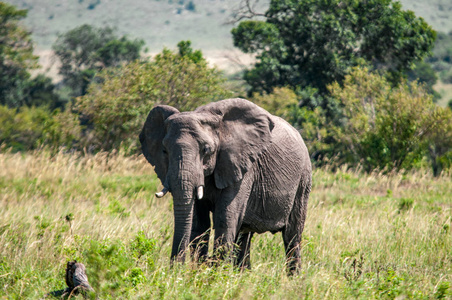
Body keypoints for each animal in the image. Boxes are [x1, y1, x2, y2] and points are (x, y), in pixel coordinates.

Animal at [140, 97, 310, 274]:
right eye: (164, 151)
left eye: (206, 150)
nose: (174, 271)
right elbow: (199, 223)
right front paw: (199, 273)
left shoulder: (242, 168)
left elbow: (225, 218)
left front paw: (215, 275)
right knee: (245, 235)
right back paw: (243, 274)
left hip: (303, 180)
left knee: (292, 236)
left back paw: (294, 278)